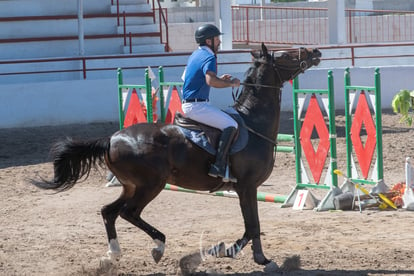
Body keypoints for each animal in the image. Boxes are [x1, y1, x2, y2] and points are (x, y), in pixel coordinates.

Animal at [34, 43, 322, 272]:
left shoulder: (245, 188)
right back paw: (158, 246)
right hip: (150, 185)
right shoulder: (247, 186)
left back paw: (112, 255)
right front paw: (249, 256)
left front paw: (238, 252)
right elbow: (252, 226)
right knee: (129, 212)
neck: (253, 123)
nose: (315, 52)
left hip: (131, 185)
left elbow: (252, 226)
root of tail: (112, 139)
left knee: (109, 211)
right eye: (284, 55)